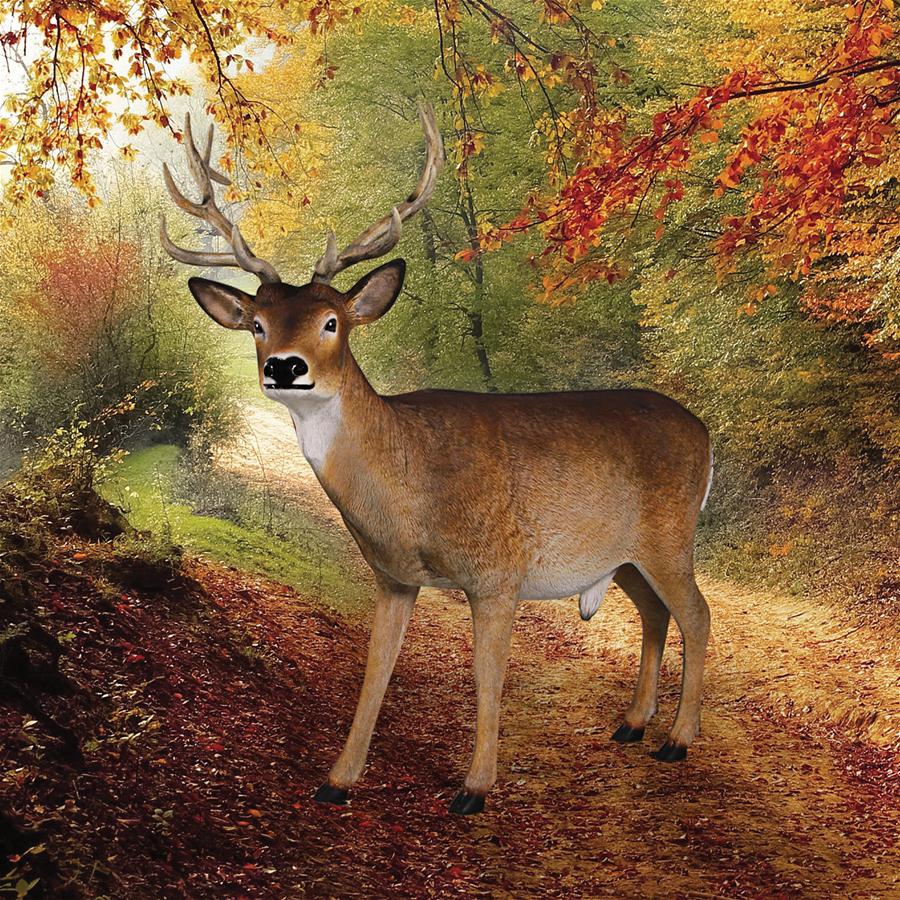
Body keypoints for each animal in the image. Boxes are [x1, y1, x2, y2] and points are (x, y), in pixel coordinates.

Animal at [159, 105, 713, 816]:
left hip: (670, 533)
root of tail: (704, 431)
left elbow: (487, 679)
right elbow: (375, 672)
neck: (411, 490)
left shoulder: (497, 571)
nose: (285, 368)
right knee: (656, 612)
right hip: (622, 554)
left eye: (333, 321)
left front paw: (473, 788)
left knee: (695, 612)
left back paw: (676, 739)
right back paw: (633, 723)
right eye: (257, 324)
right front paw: (338, 779)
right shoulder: (394, 576)